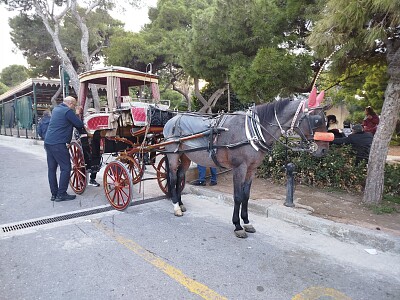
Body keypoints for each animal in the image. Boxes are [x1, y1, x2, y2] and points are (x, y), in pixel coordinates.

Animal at [162, 92, 332, 238]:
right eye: (316, 120)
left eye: (325, 120)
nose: (324, 149)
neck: (252, 131)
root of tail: (173, 119)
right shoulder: (240, 168)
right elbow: (237, 196)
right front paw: (237, 225)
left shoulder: (251, 169)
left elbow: (246, 195)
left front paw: (247, 222)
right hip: (173, 155)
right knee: (172, 177)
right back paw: (176, 206)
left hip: (185, 156)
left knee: (180, 176)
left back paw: (180, 203)